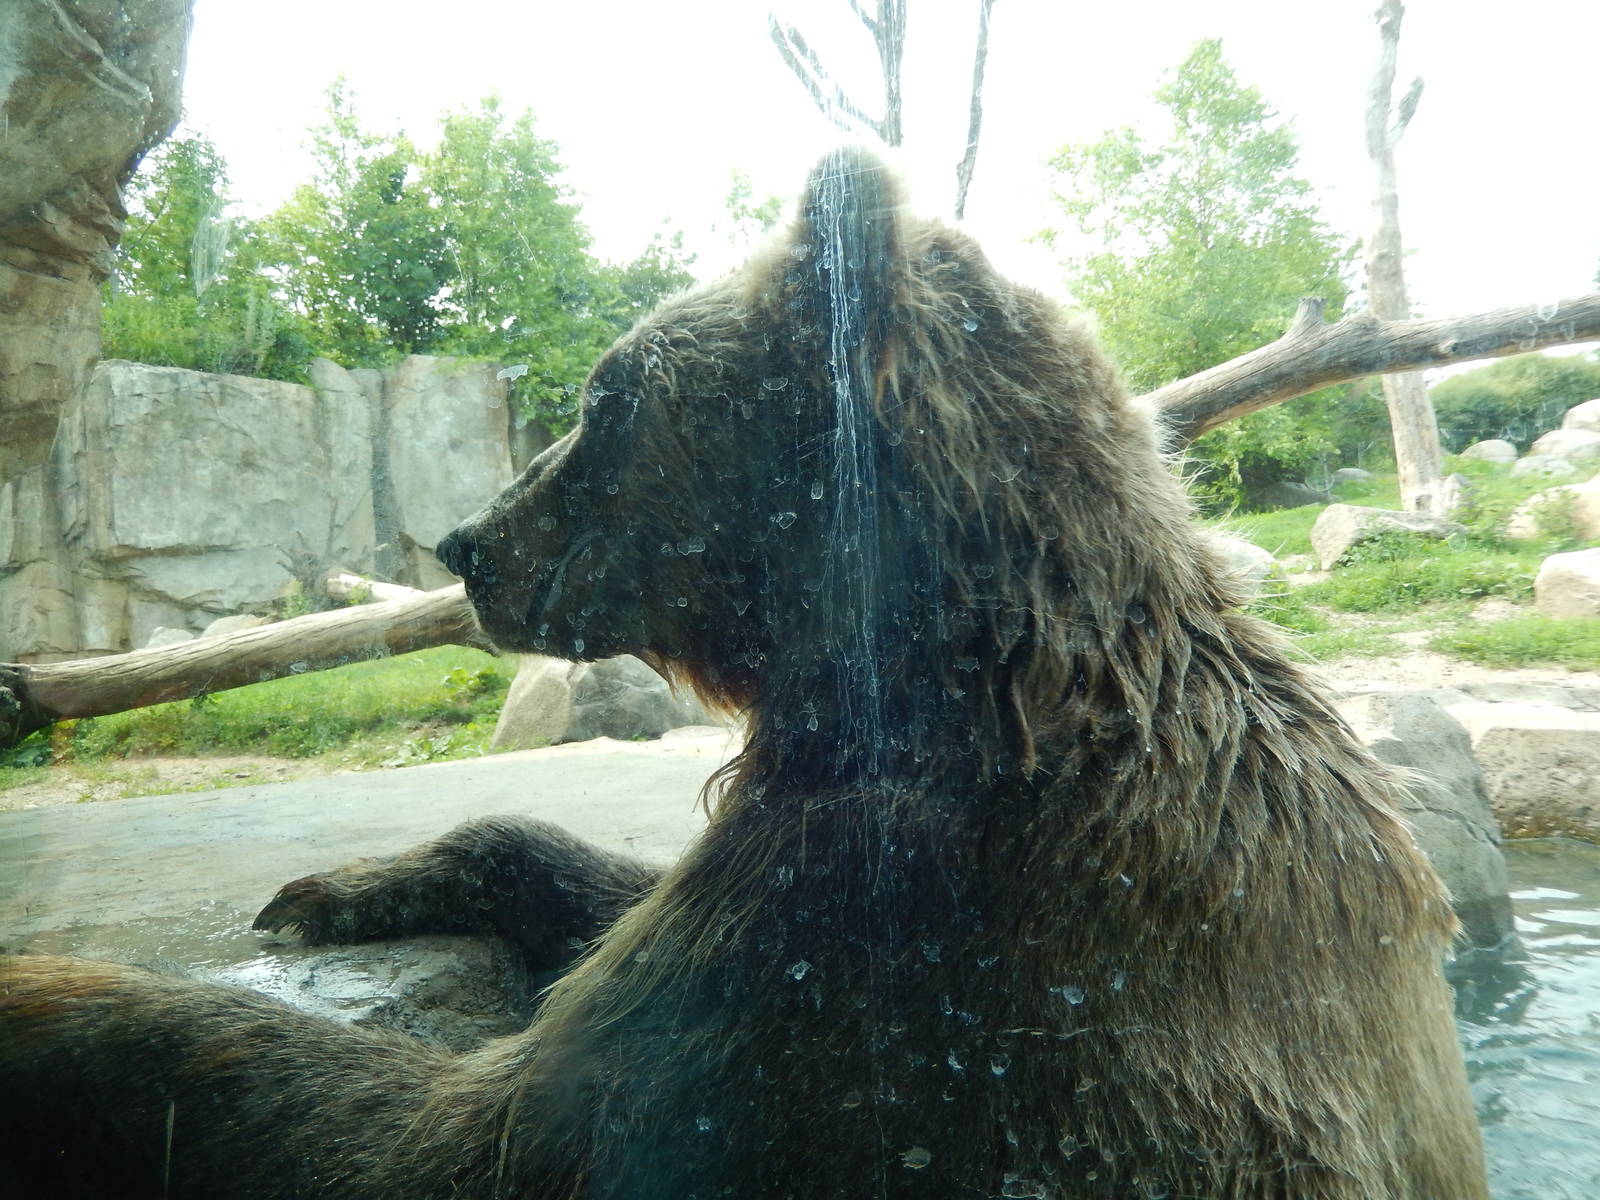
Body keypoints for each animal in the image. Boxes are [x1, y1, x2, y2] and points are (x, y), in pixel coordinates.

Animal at [0, 147, 1487, 1199]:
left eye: (604, 398)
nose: (469, 540)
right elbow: (598, 892)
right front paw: (351, 881)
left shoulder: (883, 952)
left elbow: (454, 1132)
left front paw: (57, 988)